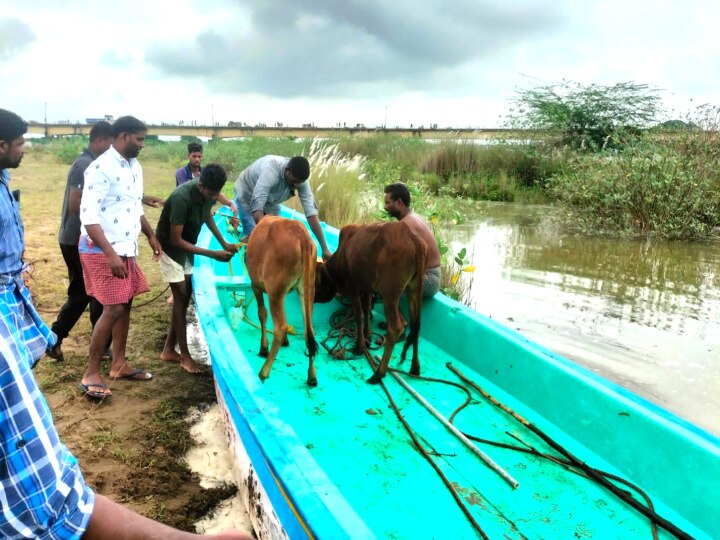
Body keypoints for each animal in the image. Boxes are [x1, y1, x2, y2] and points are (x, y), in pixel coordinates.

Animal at [245, 214, 318, 384]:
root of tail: (302, 234)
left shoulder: (255, 285)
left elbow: (262, 314)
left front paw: (263, 347)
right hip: (307, 290)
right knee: (309, 330)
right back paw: (312, 375)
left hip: (275, 291)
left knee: (280, 327)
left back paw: (264, 372)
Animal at [316, 220, 428, 384]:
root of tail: (415, 240)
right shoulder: (367, 289)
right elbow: (367, 309)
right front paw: (368, 336)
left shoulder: (354, 288)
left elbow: (359, 315)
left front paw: (360, 345)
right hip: (414, 290)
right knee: (416, 326)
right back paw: (415, 368)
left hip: (390, 294)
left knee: (395, 327)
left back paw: (379, 373)